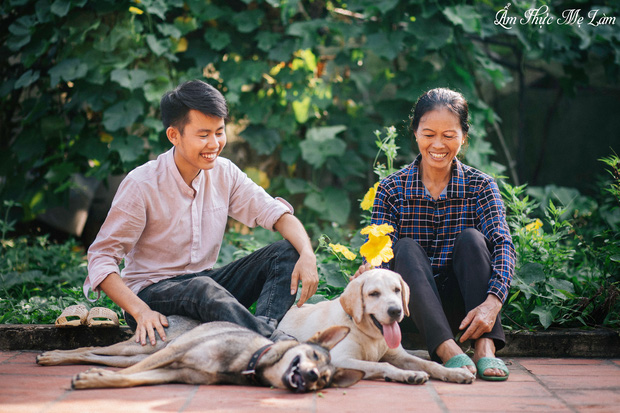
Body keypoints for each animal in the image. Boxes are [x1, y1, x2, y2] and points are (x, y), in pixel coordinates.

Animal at [278, 268, 474, 384]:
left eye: (397, 290)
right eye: (373, 294)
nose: (395, 311)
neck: (372, 337)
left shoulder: (399, 356)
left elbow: (430, 365)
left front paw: (456, 373)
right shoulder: (341, 359)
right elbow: (383, 365)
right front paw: (410, 374)